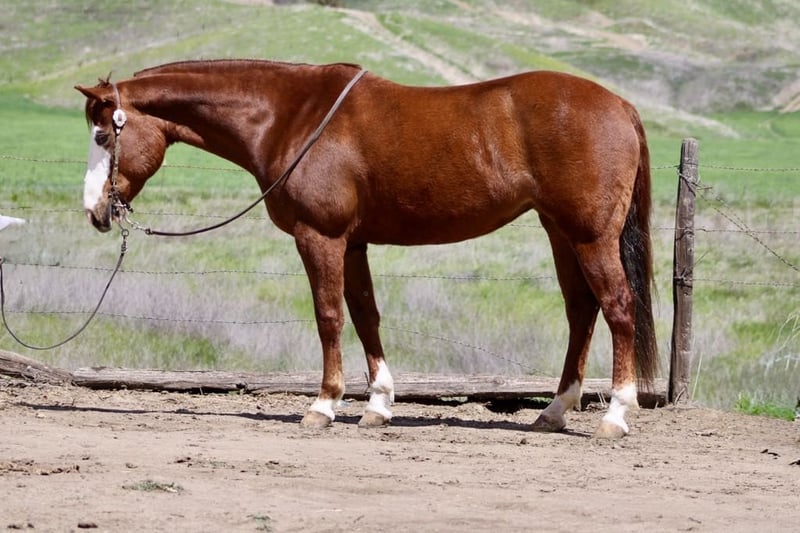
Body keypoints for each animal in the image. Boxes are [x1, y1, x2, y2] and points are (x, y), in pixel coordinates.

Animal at [76, 59, 658, 439]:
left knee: (618, 308)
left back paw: (615, 415)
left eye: (103, 136)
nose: (95, 211)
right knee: (581, 310)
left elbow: (329, 316)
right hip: (560, 232)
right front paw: (377, 406)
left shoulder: (320, 237)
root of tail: (622, 105)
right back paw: (555, 412)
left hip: (590, 236)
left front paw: (324, 406)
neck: (291, 116)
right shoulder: (353, 243)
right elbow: (365, 315)